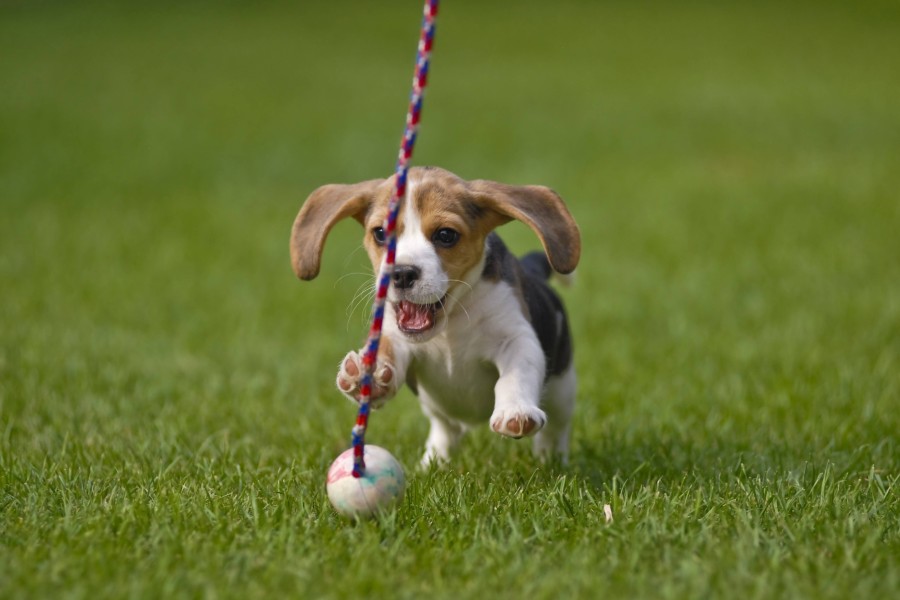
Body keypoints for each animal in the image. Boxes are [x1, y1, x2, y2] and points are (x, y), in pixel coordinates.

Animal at [292, 166, 580, 466]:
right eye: (381, 233)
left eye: (445, 235)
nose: (401, 273)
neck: (450, 323)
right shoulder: (394, 335)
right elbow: (387, 351)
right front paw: (365, 378)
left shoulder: (516, 337)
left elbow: (516, 374)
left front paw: (516, 411)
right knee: (445, 430)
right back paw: (433, 462)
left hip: (563, 387)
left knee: (556, 428)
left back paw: (550, 458)